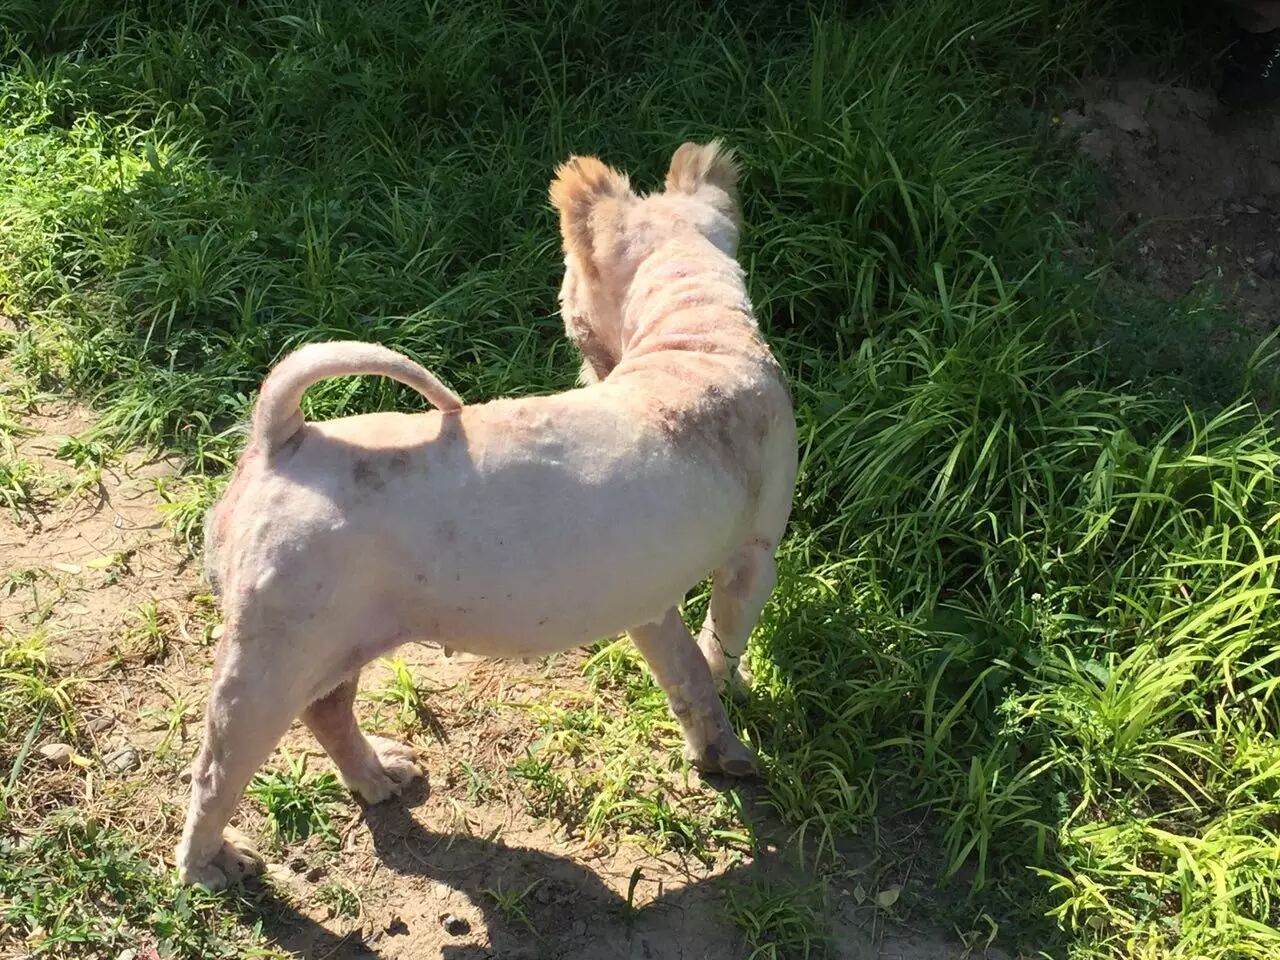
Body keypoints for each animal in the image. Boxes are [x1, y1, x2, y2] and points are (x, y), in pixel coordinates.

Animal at [174, 141, 797, 888]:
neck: (699, 339)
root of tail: (284, 437)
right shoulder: (754, 559)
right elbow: (720, 647)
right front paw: (733, 724)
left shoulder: (647, 601)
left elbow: (688, 675)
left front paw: (714, 747)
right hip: (269, 660)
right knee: (216, 774)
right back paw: (212, 865)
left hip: (331, 635)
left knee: (326, 708)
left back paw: (378, 776)